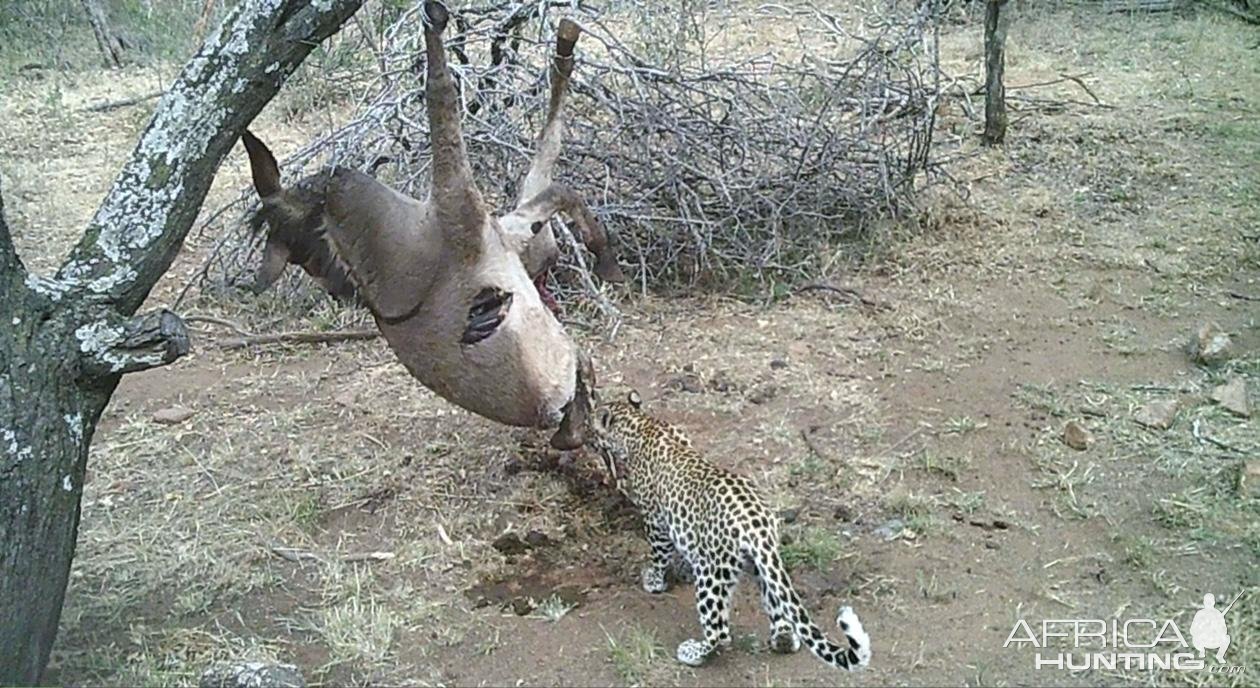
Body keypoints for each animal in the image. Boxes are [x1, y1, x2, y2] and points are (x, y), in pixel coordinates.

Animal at [586, 389, 872, 670]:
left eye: (592, 425)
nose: (587, 438)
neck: (641, 424)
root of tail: (758, 526)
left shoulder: (654, 519)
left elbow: (659, 554)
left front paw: (654, 580)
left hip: (712, 573)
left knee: (719, 632)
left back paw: (692, 652)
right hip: (762, 565)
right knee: (779, 609)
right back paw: (783, 639)